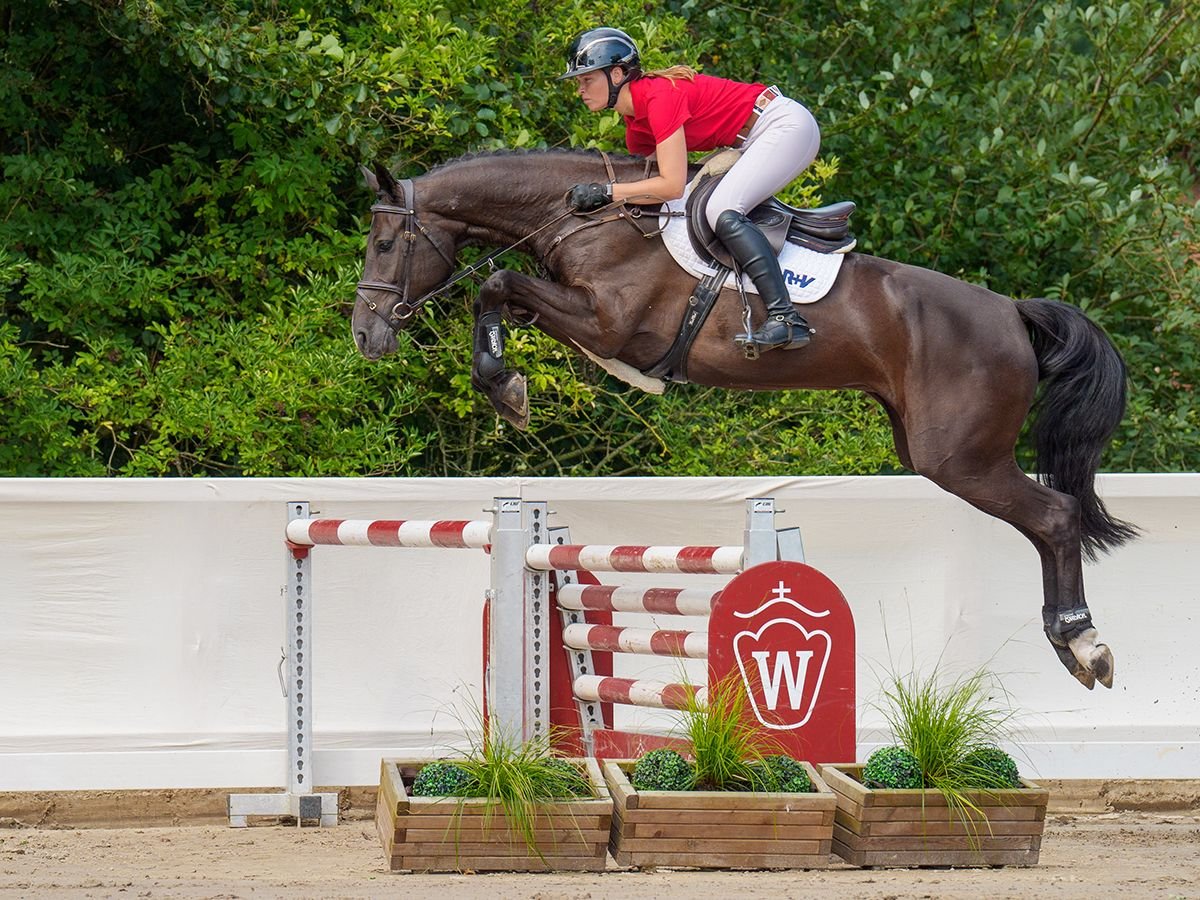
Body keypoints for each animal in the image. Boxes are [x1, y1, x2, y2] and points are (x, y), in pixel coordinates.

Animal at [350, 151, 1137, 696]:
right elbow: (501, 291)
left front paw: (504, 386)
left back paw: (1085, 643)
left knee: (1057, 516)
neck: (587, 218)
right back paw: (1072, 643)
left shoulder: (609, 323)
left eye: (386, 245)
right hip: (934, 450)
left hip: (959, 459)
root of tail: (1011, 311)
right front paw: (505, 383)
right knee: (1048, 520)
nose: (365, 334)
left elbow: (497, 281)